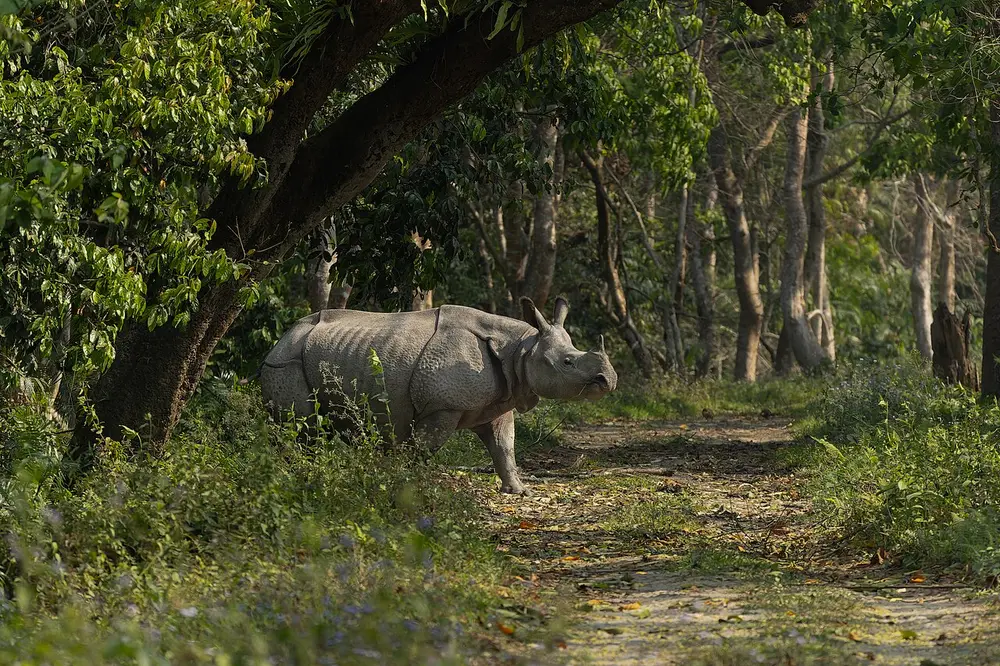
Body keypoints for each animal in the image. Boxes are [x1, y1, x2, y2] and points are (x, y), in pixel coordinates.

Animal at [259, 296, 617, 494]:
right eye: (568, 362)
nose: (609, 380)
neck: (521, 348)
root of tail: (281, 338)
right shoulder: (442, 406)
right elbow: (423, 449)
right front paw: (409, 486)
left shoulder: (501, 402)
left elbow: (505, 446)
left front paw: (519, 491)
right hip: (286, 361)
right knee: (302, 427)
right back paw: (295, 477)